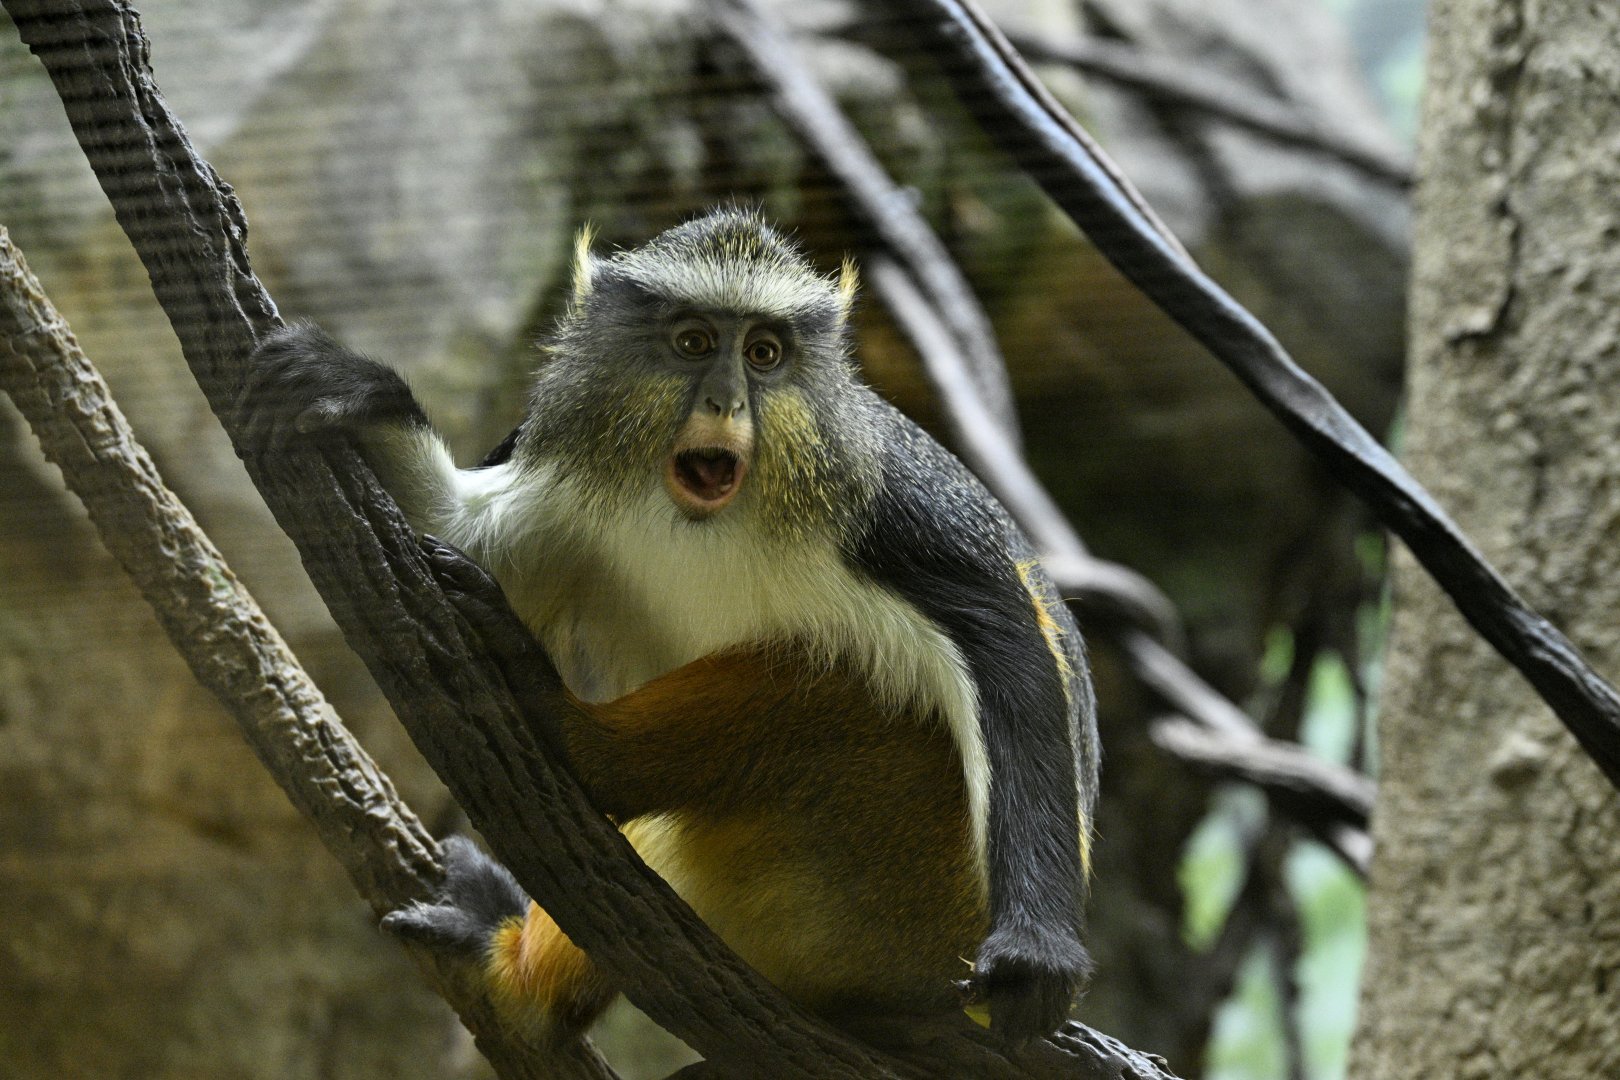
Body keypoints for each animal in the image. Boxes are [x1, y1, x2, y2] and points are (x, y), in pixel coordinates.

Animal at [238, 207, 1099, 1046]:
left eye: (763, 353)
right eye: (693, 343)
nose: (726, 401)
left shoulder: (883, 515)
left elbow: (1002, 635)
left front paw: (1037, 951)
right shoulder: (566, 482)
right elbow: (448, 534)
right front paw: (359, 397)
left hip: (908, 882)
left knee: (822, 676)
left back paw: (574, 751)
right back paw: (519, 978)